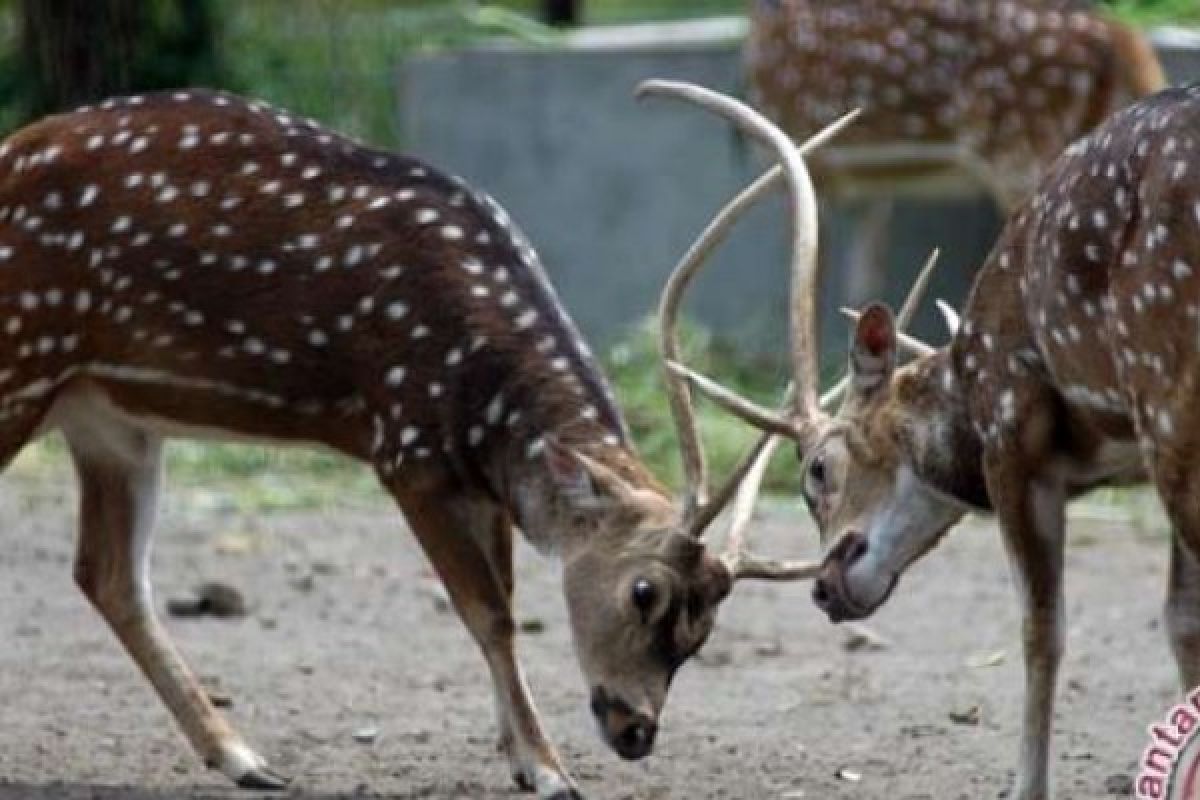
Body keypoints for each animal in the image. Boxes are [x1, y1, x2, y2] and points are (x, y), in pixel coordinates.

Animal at [0, 86, 854, 796]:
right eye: (644, 592)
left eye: (706, 627)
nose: (636, 730)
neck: (478, 385)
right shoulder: (405, 447)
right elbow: (488, 612)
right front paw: (550, 770)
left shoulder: (482, 477)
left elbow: (503, 602)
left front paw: (524, 761)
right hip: (25, 355)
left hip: (110, 417)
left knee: (108, 573)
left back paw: (245, 758)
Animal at [672, 82, 1200, 800]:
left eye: (818, 469)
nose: (824, 588)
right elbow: (1180, 620)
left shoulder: (1015, 436)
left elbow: (1042, 627)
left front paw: (1026, 785)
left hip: (1168, 386)